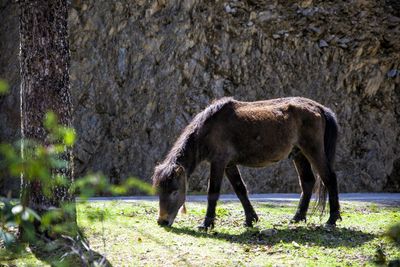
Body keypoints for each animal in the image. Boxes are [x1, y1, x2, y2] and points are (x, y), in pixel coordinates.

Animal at [152, 97, 342, 229]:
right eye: (159, 191)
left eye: (174, 191)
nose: (162, 221)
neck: (209, 128)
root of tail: (319, 108)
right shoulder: (229, 165)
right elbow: (240, 189)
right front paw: (251, 219)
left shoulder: (219, 162)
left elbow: (213, 192)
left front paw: (206, 224)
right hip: (299, 154)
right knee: (308, 181)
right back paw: (297, 218)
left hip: (313, 151)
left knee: (329, 178)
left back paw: (332, 219)